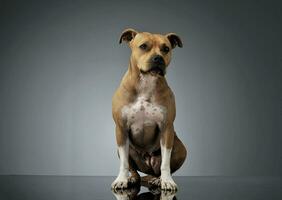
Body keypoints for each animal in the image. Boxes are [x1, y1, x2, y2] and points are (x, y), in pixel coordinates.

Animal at [112, 27, 187, 191]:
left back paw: (158, 180)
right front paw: (121, 179)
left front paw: (167, 181)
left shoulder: (167, 128)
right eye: (143, 46)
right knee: (134, 170)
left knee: (159, 169)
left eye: (166, 49)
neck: (146, 82)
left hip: (181, 148)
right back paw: (132, 179)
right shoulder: (121, 129)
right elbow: (124, 164)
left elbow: (165, 163)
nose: (158, 58)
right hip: (126, 148)